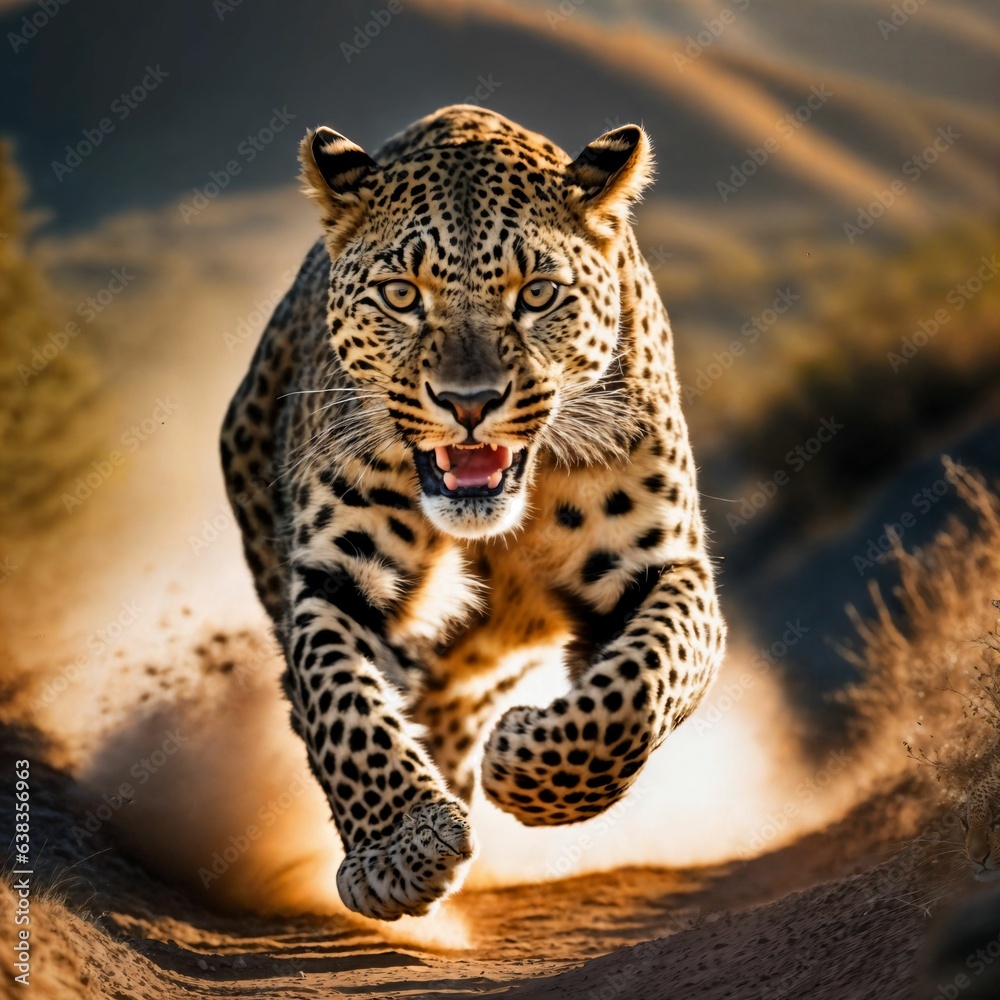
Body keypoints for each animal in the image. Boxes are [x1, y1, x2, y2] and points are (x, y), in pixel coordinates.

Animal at [220, 105, 727, 920]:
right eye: (401, 296)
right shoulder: (335, 578)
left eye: (538, 295)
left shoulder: (660, 563)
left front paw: (528, 764)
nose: (468, 403)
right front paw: (399, 848)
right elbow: (343, 703)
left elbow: (644, 685)